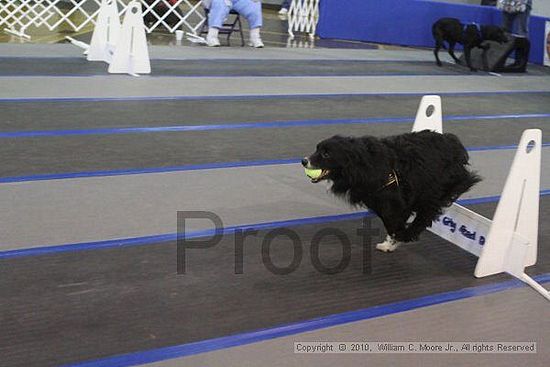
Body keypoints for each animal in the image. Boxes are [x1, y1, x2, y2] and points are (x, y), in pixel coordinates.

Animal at [304, 132, 480, 253]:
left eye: (326, 154)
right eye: (317, 149)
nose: (303, 160)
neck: (362, 165)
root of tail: (455, 144)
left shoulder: (395, 200)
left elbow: (395, 222)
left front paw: (401, 237)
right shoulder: (385, 202)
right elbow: (391, 222)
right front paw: (391, 243)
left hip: (435, 188)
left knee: (427, 213)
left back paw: (410, 232)